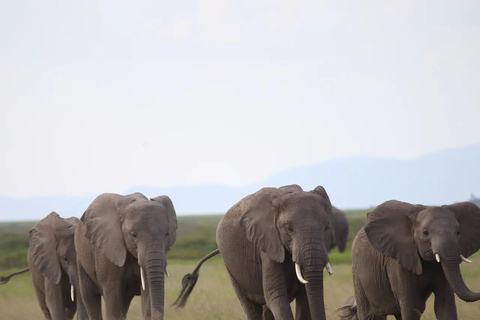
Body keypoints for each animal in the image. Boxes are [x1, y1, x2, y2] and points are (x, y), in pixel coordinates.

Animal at [76, 192, 177, 320]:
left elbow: (147, 294)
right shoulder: (108, 249)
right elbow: (113, 298)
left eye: (167, 234)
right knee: (90, 297)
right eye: (133, 235)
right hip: (80, 256)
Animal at [174, 185, 336, 320]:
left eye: (327, 227)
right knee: (251, 307)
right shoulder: (268, 243)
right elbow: (277, 297)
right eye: (289, 229)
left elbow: (305, 299)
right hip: (232, 270)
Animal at [340, 200, 480, 320]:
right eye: (425, 233)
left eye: (458, 233)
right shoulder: (398, 263)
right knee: (370, 315)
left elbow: (444, 305)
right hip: (358, 275)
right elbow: (411, 307)